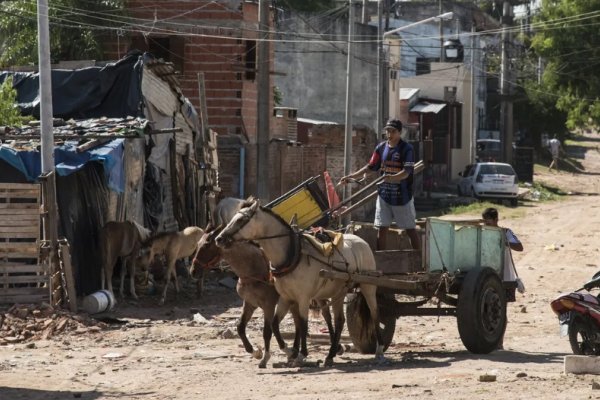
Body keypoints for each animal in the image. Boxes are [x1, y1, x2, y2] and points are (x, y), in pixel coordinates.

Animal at [216, 198, 384, 368]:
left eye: (241, 220)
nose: (219, 239)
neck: (292, 255)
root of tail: (362, 241)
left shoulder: (303, 298)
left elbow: (303, 324)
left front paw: (301, 354)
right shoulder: (286, 298)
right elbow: (275, 325)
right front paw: (290, 352)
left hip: (368, 286)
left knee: (374, 313)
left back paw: (379, 350)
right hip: (338, 292)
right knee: (339, 321)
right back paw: (330, 355)